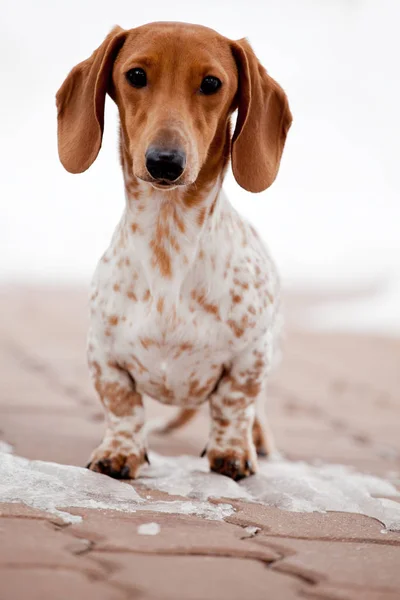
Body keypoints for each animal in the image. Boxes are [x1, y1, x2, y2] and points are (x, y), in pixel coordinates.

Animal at [56, 19, 292, 482]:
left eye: (212, 83)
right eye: (135, 75)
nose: (165, 161)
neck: (168, 243)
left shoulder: (251, 356)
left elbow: (234, 405)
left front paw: (233, 453)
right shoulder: (103, 354)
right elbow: (123, 407)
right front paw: (119, 452)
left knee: (257, 411)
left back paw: (259, 442)